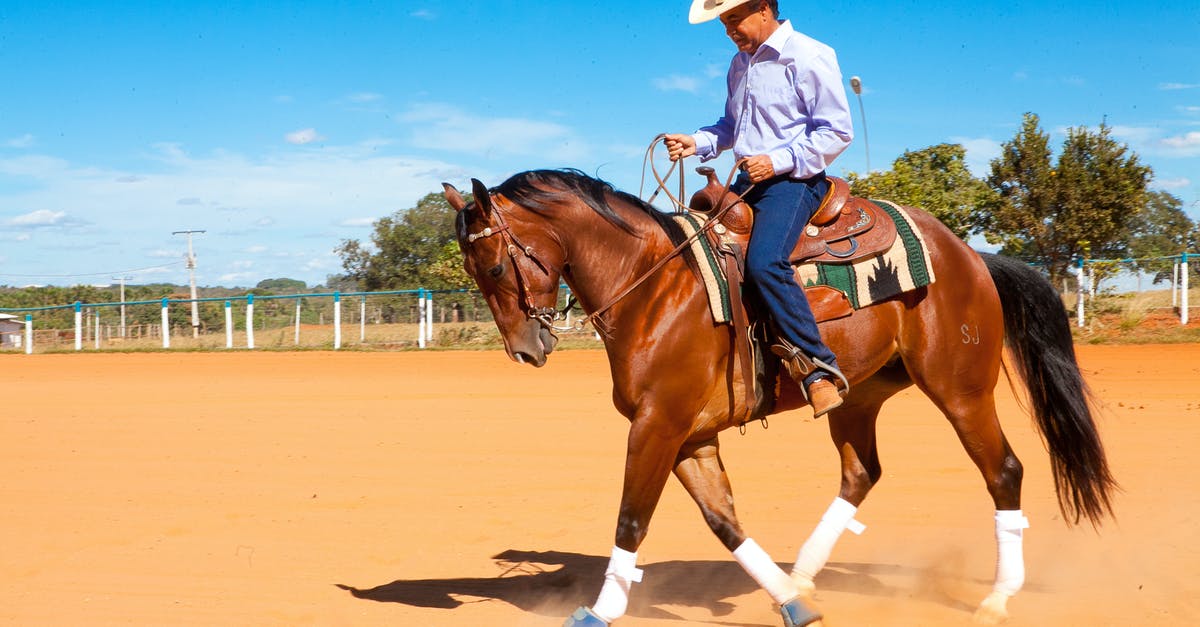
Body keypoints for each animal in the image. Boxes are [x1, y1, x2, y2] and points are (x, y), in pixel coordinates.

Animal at [441, 166, 1113, 624]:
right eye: (473, 272)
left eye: (495, 267)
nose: (525, 349)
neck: (655, 288)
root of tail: (970, 254)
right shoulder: (690, 435)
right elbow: (723, 520)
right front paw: (790, 601)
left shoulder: (658, 424)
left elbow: (632, 517)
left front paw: (599, 611)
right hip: (857, 396)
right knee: (861, 473)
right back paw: (805, 576)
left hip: (960, 388)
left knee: (1004, 470)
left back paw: (998, 597)